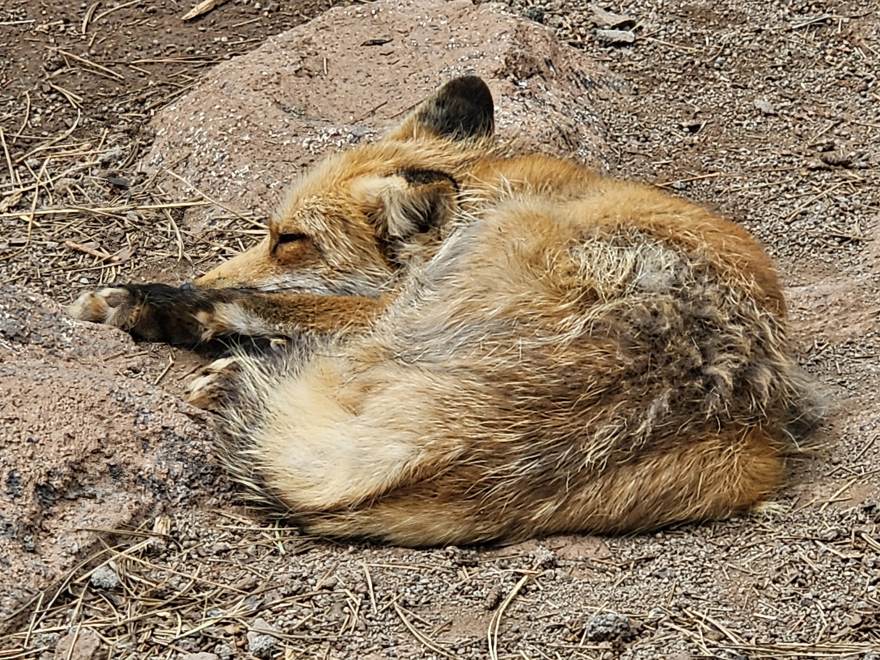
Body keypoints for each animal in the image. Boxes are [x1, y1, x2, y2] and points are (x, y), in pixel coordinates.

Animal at [68, 76, 821, 546]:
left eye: (289, 240)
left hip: (416, 314)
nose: (200, 271)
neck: (487, 184)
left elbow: (273, 304)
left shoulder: (389, 300)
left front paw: (157, 303)